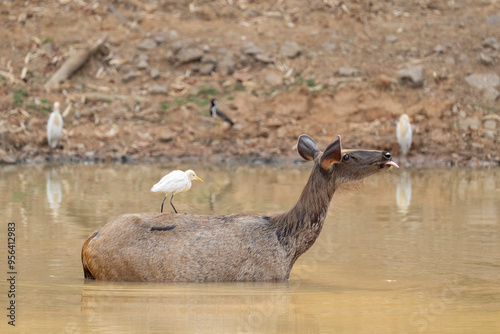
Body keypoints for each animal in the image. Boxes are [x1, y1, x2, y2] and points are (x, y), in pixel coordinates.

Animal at [81, 135, 398, 282]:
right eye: (348, 155)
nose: (387, 153)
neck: (289, 246)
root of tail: (87, 243)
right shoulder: (265, 276)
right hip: (119, 272)